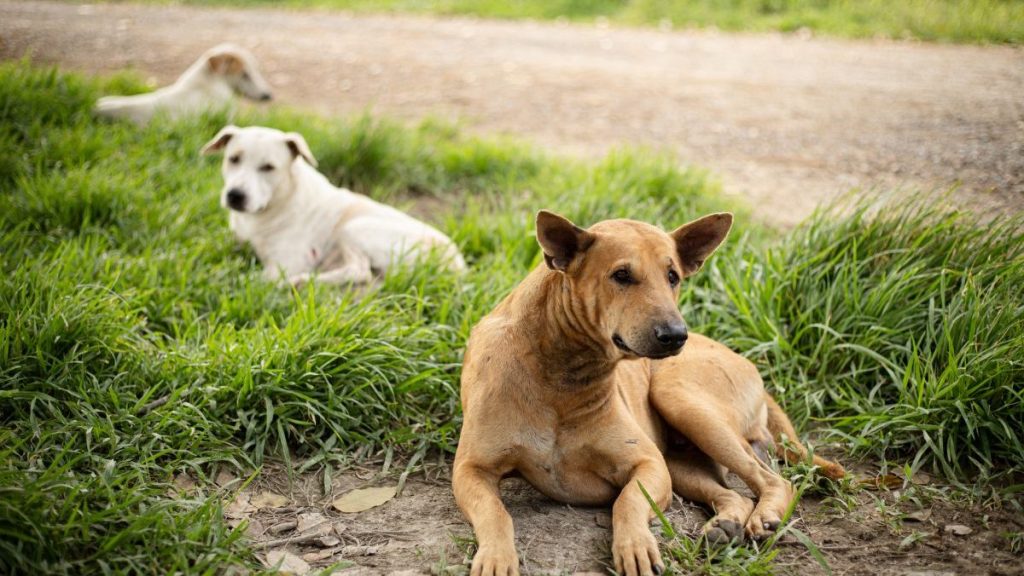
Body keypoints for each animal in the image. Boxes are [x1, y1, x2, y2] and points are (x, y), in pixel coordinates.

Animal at [198, 126, 468, 284]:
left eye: (268, 167)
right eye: (233, 159)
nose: (235, 195)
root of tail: (458, 264)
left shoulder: (285, 264)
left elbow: (253, 279)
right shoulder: (234, 238)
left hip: (354, 227)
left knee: (359, 271)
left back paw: (301, 281)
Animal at [452, 211, 843, 573]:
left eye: (673, 277)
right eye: (622, 275)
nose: (676, 335)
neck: (561, 373)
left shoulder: (649, 464)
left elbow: (628, 501)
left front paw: (635, 546)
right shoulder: (471, 471)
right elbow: (496, 513)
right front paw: (496, 558)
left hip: (682, 402)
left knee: (772, 479)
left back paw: (764, 517)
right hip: (681, 459)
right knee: (734, 494)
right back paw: (726, 524)